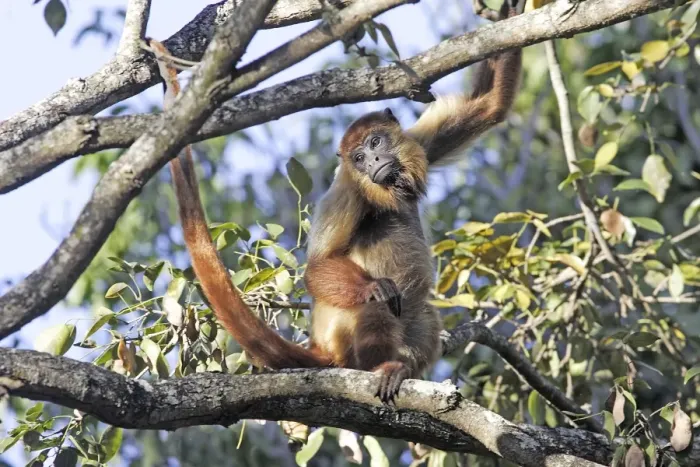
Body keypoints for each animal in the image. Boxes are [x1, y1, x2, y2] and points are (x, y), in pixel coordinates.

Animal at [150, 0, 522, 404]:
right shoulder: (346, 193)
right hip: (343, 341)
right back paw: (379, 365)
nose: (373, 162)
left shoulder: (420, 144)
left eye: (375, 143)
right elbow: (318, 269)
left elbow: (488, 105)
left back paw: (402, 366)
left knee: (422, 312)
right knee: (376, 309)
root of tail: (321, 347)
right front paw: (372, 288)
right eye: (358, 159)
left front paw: (510, 11)